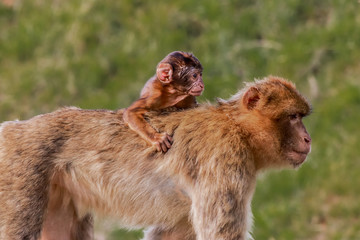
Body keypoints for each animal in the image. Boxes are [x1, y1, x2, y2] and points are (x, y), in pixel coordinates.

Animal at [0, 77, 310, 240]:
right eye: (293, 117)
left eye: (301, 117)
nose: (308, 138)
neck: (237, 128)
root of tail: (14, 128)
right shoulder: (225, 159)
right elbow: (219, 232)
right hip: (20, 172)